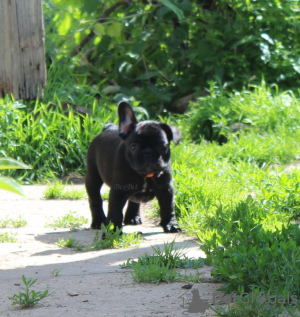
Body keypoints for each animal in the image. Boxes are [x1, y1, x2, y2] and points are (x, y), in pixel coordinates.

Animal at [85, 101, 182, 232]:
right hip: (93, 177)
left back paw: (132, 217)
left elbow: (168, 207)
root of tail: (108, 128)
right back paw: (98, 221)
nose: (148, 154)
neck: (145, 175)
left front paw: (171, 224)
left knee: (134, 200)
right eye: (133, 147)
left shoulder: (165, 189)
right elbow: (115, 211)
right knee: (95, 198)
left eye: (162, 146)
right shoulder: (118, 191)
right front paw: (113, 231)